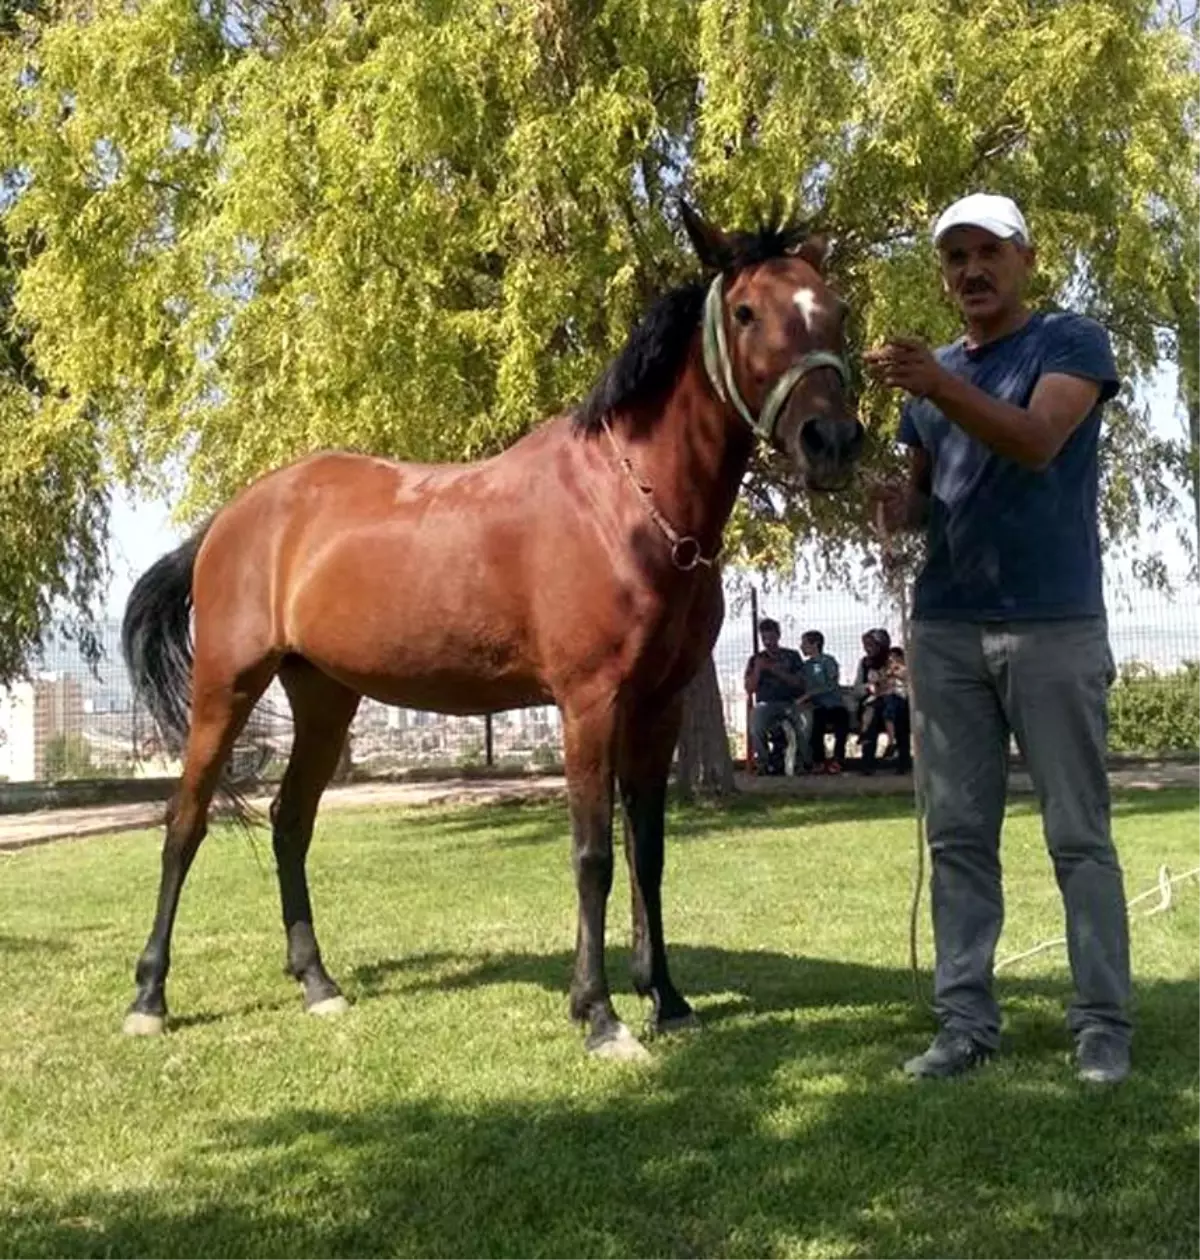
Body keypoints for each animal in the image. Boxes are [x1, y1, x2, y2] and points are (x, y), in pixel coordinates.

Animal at [119, 201, 862, 1058]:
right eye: (745, 313)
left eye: (835, 311)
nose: (832, 442)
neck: (627, 505)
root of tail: (232, 518)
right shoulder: (588, 704)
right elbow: (593, 854)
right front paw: (599, 1014)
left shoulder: (660, 705)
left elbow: (647, 850)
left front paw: (667, 998)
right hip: (226, 687)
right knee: (185, 823)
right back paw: (149, 997)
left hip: (325, 699)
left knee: (289, 822)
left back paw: (318, 983)